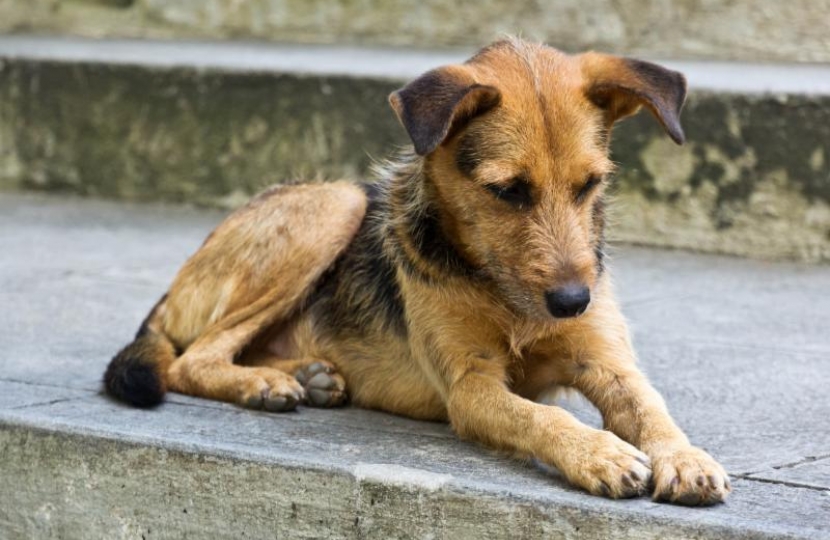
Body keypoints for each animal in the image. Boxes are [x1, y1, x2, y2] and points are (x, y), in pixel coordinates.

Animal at [105, 38, 736, 506]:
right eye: (509, 191)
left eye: (590, 185)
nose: (572, 301)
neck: (501, 290)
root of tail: (171, 292)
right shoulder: (470, 387)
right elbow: (540, 416)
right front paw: (598, 452)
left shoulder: (605, 360)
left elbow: (651, 407)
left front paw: (686, 457)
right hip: (336, 203)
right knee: (191, 360)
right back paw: (264, 384)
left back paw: (308, 375)